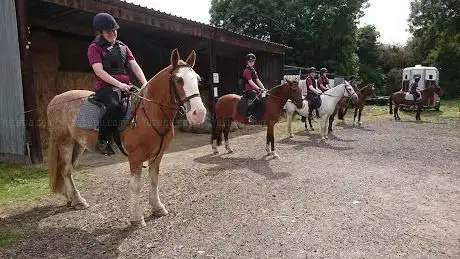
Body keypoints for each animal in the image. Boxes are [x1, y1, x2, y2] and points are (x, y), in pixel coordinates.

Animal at [45, 49, 206, 228]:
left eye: (197, 79)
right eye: (179, 79)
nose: (199, 114)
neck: (148, 112)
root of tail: (56, 99)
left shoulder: (157, 155)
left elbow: (154, 180)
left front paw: (157, 208)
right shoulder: (135, 157)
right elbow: (135, 186)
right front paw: (136, 218)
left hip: (78, 144)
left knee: (66, 171)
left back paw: (71, 198)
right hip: (64, 143)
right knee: (65, 170)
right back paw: (78, 200)